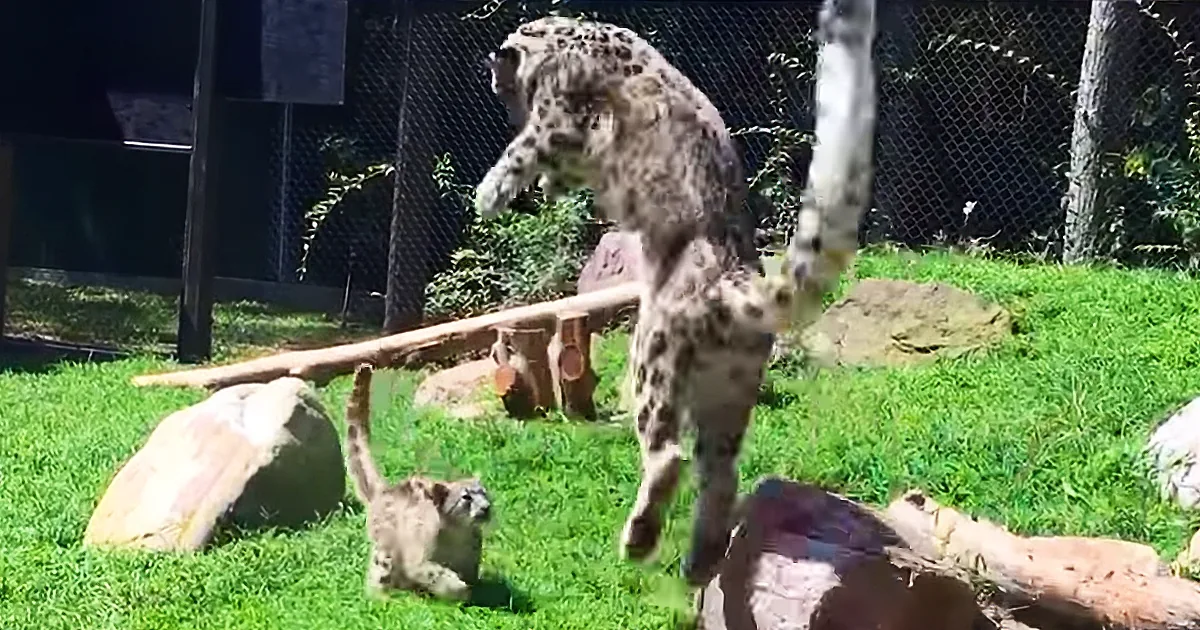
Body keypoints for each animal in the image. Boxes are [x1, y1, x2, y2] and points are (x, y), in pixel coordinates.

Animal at [343, 362, 492, 602]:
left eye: (485, 493)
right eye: (466, 497)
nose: (486, 508)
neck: (458, 536)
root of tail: (386, 490)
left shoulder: (471, 562)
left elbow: (471, 578)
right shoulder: (420, 561)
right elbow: (438, 575)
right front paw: (459, 590)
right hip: (385, 553)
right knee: (378, 574)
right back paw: (382, 597)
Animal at [474, 0, 877, 587]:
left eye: (506, 85)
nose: (503, 98)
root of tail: (738, 286)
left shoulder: (557, 116)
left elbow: (526, 150)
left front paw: (491, 194)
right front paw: (548, 188)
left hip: (651, 359)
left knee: (668, 456)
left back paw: (639, 541)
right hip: (729, 392)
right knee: (720, 472)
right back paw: (700, 560)